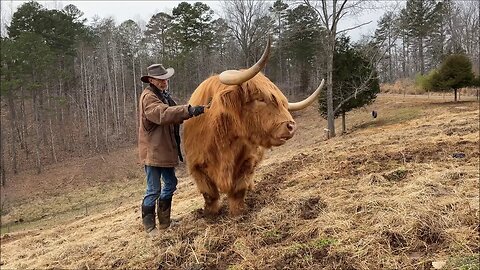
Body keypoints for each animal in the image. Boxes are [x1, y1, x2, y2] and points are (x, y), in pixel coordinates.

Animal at [184, 38, 326, 215]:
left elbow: (239, 190)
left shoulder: (248, 162)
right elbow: (209, 194)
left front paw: (238, 214)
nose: (291, 126)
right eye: (260, 98)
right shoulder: (197, 166)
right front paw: (210, 214)